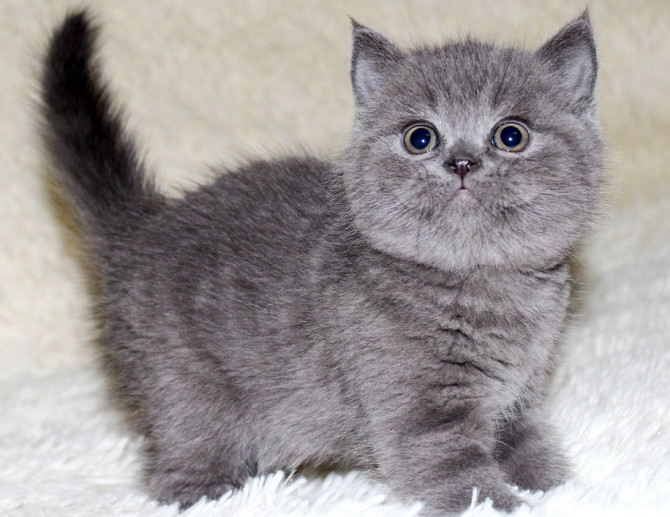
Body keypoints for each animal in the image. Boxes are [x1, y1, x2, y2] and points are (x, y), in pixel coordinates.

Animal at [39, 10, 608, 512]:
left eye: (511, 135)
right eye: (420, 137)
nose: (462, 162)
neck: (484, 288)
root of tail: (143, 228)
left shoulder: (517, 396)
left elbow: (531, 449)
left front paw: (560, 491)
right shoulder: (420, 414)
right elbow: (460, 475)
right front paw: (506, 504)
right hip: (187, 392)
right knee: (179, 462)